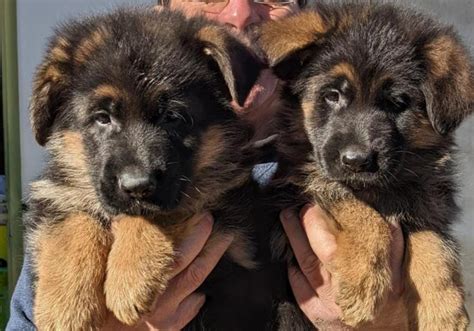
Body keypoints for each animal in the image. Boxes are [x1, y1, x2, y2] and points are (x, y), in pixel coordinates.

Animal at [25, 7, 270, 331]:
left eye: (172, 116)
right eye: (102, 118)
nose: (137, 186)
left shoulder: (232, 221)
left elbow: (163, 210)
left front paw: (130, 275)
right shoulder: (57, 193)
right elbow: (72, 219)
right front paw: (66, 305)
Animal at [262, 2, 472, 331]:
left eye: (397, 102)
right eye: (332, 95)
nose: (356, 161)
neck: (379, 189)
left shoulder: (427, 201)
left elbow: (435, 243)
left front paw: (444, 310)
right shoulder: (298, 190)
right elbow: (361, 213)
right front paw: (363, 283)